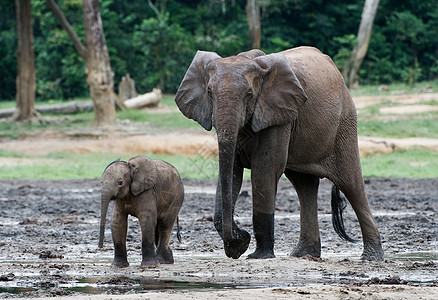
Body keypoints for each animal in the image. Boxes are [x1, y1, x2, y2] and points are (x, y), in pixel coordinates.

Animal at [175, 46, 384, 260]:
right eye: (209, 93)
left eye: (249, 95)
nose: (239, 238)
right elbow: (232, 172)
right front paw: (240, 246)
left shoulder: (276, 115)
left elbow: (264, 172)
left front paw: (257, 255)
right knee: (304, 186)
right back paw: (302, 255)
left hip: (345, 124)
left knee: (351, 184)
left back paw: (371, 257)